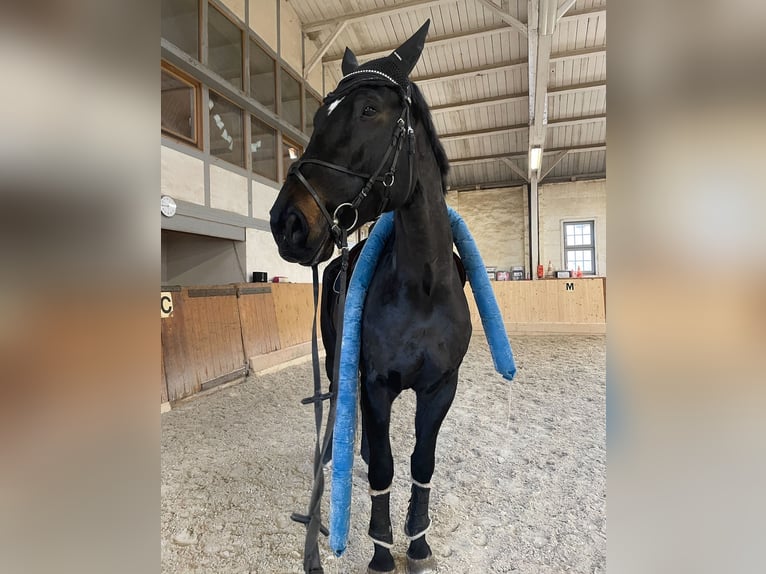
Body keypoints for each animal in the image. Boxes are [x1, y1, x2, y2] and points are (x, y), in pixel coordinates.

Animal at [270, 20, 471, 574]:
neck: (423, 290)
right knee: (342, 407)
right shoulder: (377, 383)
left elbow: (421, 461)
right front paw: (382, 551)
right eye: (319, 114)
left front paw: (417, 542)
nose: (287, 223)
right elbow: (383, 466)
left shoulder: (440, 387)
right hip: (336, 357)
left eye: (368, 110)